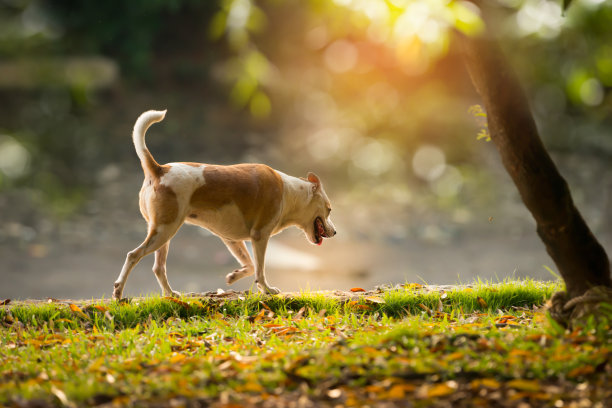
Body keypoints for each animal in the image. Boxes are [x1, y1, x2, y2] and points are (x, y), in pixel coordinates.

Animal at [112, 109, 338, 300]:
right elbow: (260, 269)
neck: (290, 192)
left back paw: (171, 294)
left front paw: (233, 276)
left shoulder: (231, 239)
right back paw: (118, 291)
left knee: (158, 268)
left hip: (163, 235)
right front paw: (267, 289)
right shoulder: (260, 236)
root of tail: (159, 169)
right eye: (329, 210)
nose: (335, 232)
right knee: (133, 255)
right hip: (164, 230)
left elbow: (250, 265)